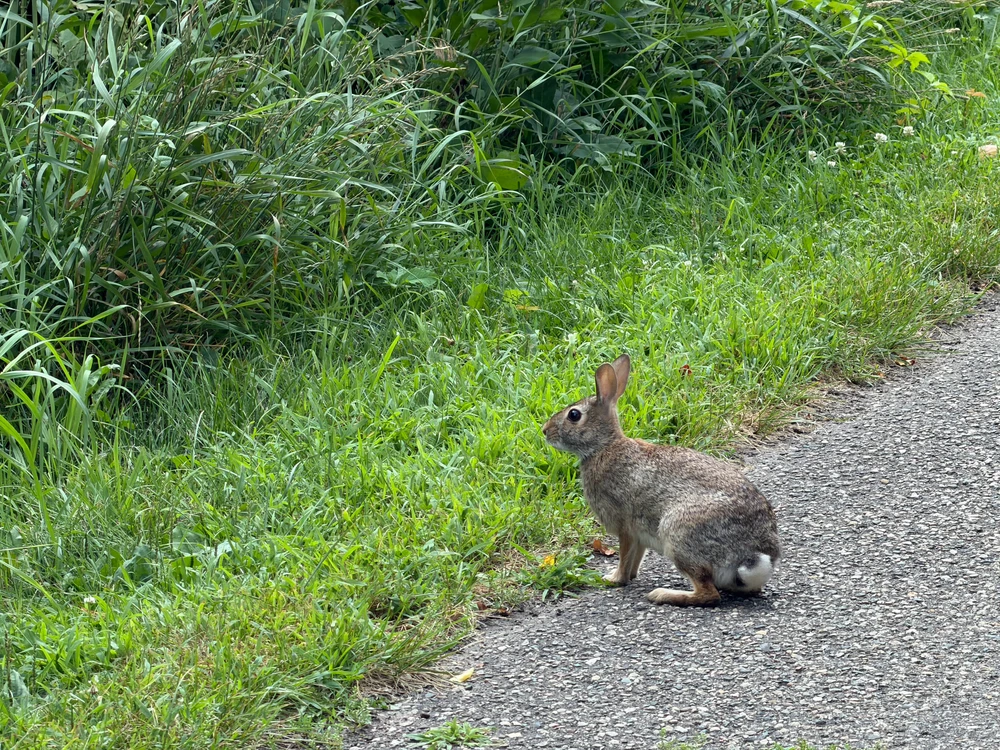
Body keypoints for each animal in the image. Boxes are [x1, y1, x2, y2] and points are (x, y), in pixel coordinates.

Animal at [541, 353, 780, 606]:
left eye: (574, 415)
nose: (545, 430)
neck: (603, 447)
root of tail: (755, 555)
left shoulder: (625, 525)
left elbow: (624, 555)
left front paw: (614, 579)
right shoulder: (639, 536)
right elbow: (635, 557)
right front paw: (629, 576)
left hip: (678, 534)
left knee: (708, 593)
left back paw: (662, 594)